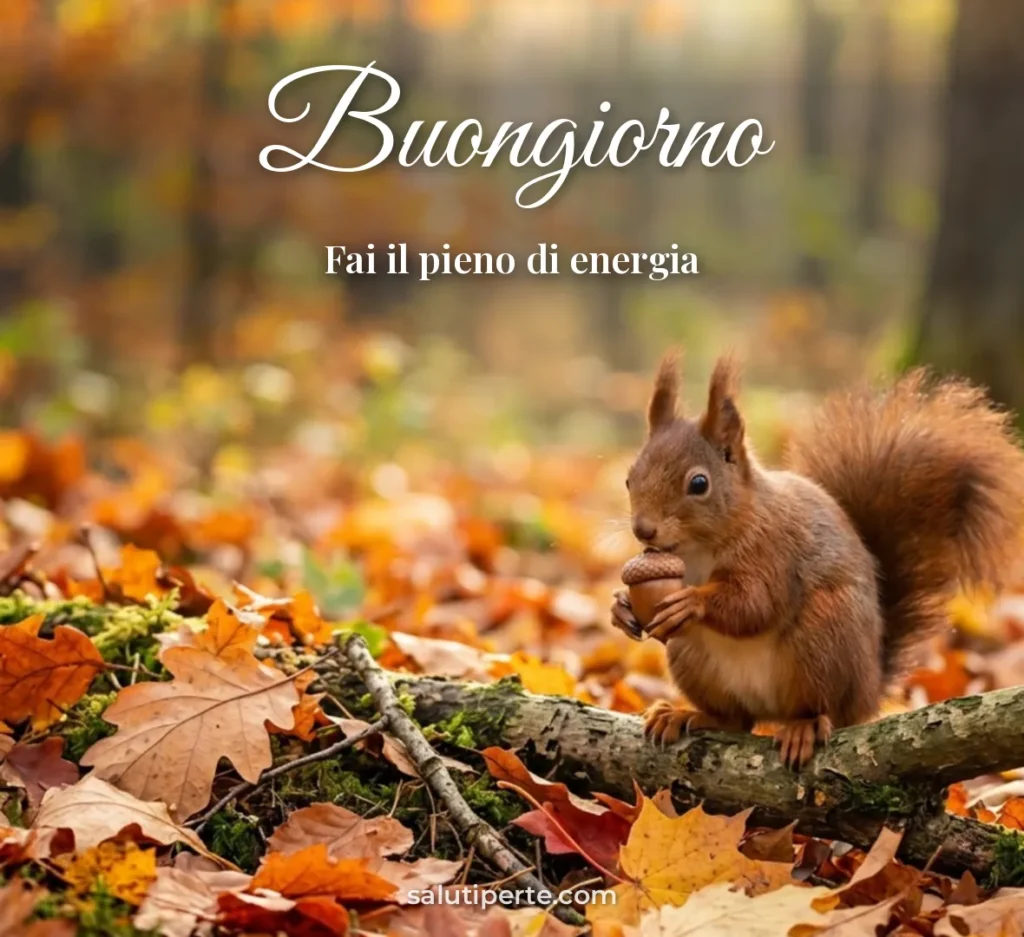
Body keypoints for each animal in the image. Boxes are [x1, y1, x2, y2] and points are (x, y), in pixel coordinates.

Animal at [612, 351, 1024, 767]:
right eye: (629, 478)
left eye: (699, 484)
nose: (643, 530)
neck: (696, 549)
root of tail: (870, 689)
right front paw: (622, 607)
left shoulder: (773, 553)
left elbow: (754, 604)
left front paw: (692, 602)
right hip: (693, 658)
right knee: (736, 720)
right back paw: (685, 715)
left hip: (823, 638)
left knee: (825, 711)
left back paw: (804, 727)